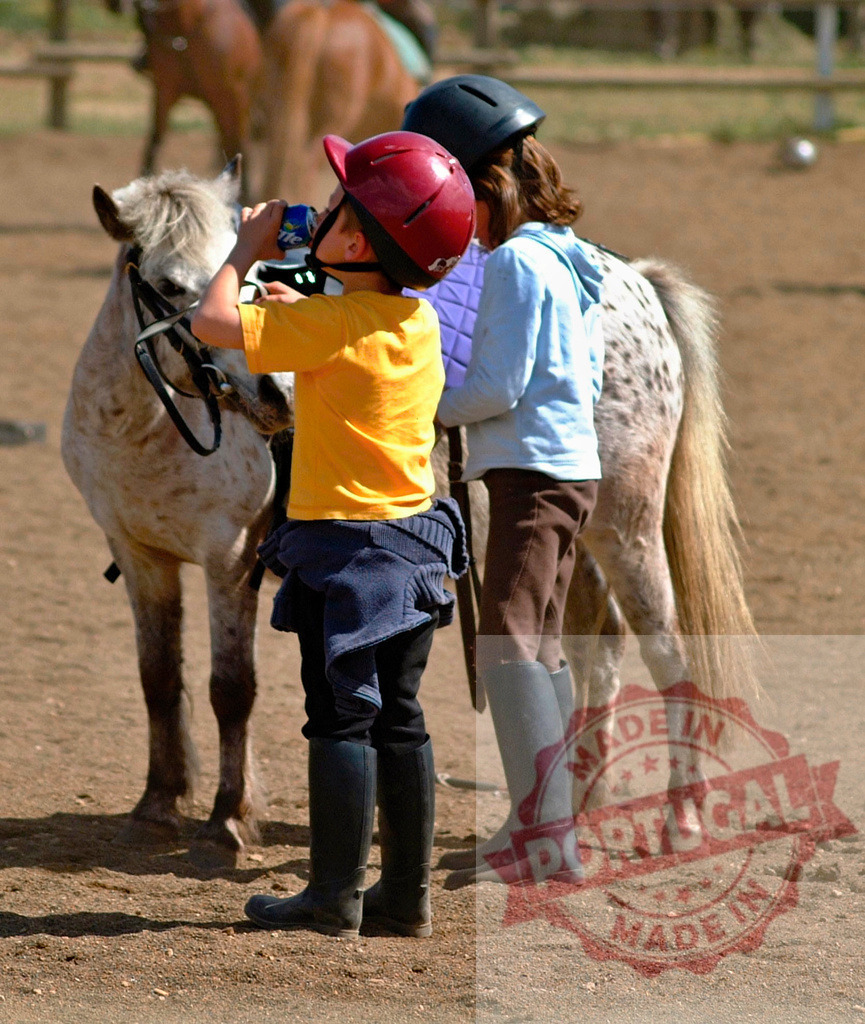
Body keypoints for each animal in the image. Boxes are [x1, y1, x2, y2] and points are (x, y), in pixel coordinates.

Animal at [61, 158, 294, 861]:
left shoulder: (230, 562)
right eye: (169, 283)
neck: (145, 433)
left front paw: (227, 818)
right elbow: (158, 677)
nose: (276, 390)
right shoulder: (140, 557)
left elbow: (232, 688)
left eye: (249, 270)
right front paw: (157, 805)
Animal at [104, 0, 262, 200]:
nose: (113, 4)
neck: (185, 28)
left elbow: (241, 146)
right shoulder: (165, 91)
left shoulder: (235, 95)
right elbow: (154, 141)